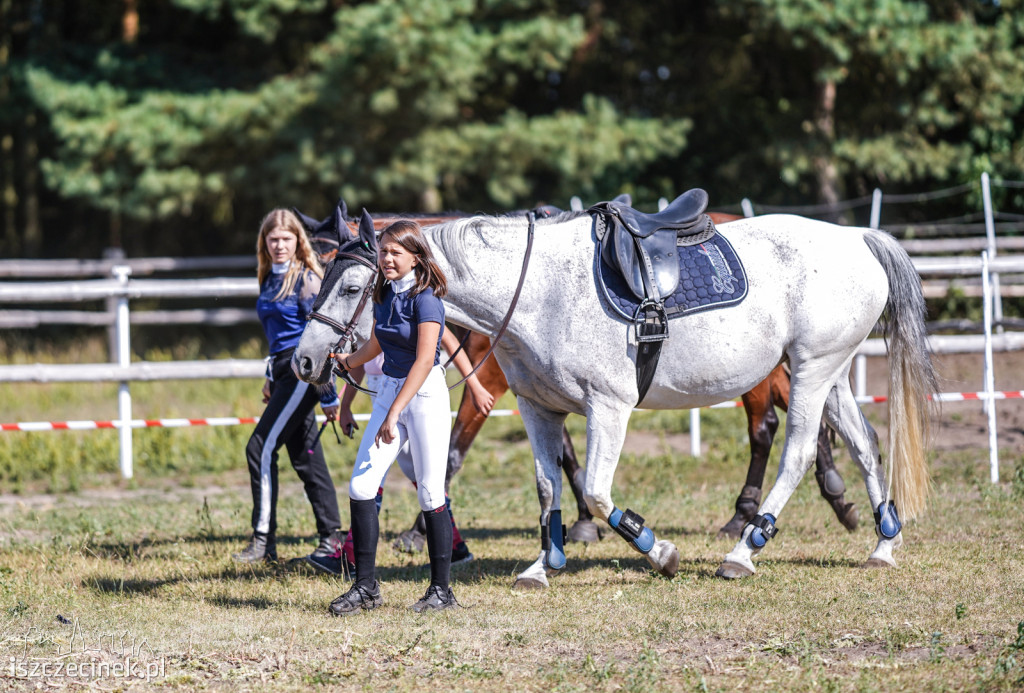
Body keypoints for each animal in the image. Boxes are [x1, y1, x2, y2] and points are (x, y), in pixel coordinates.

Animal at [296, 203, 937, 585]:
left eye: (351, 286)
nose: (303, 361)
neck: (538, 291)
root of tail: (856, 237)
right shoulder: (537, 407)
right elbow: (549, 485)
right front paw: (544, 562)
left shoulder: (608, 407)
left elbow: (600, 494)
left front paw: (658, 550)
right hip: (829, 374)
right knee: (864, 443)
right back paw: (883, 544)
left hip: (809, 371)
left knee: (799, 450)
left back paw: (743, 550)